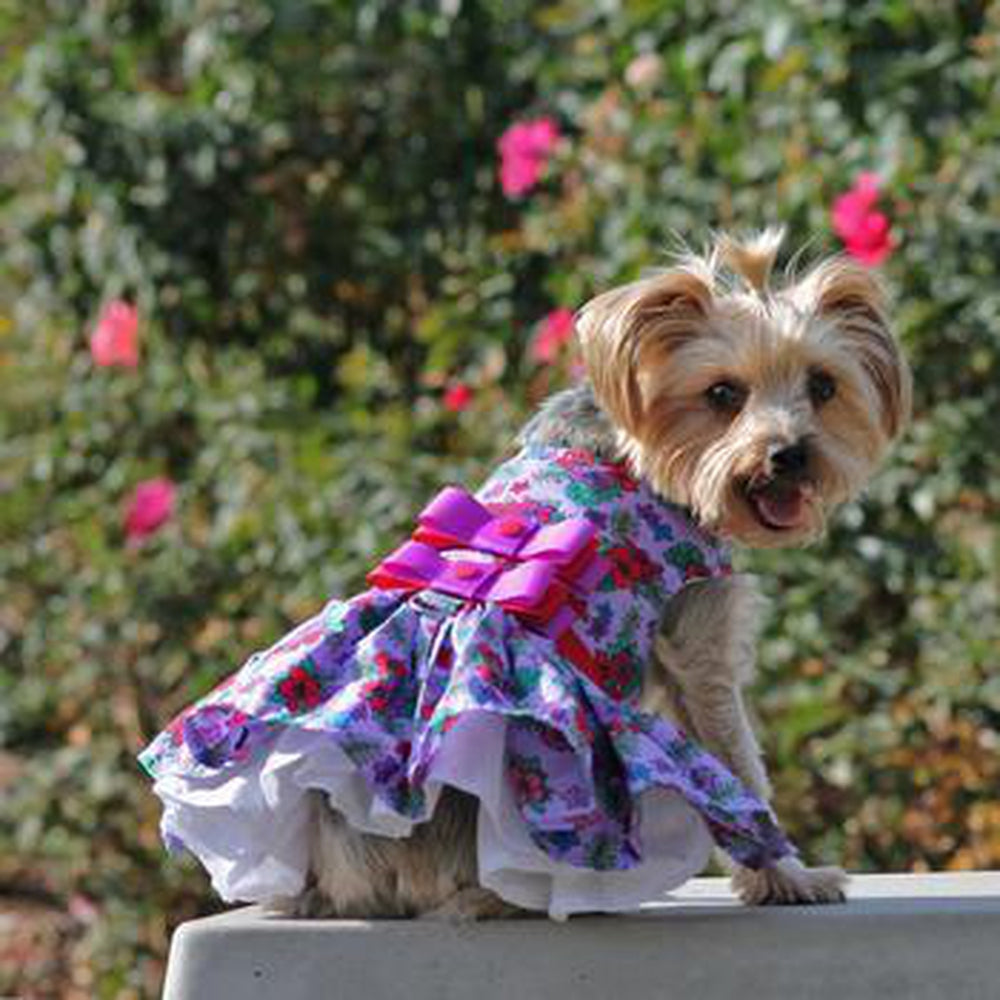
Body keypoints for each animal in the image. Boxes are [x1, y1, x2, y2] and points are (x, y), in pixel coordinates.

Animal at [288, 230, 908, 916]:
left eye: (823, 386)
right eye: (722, 394)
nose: (790, 454)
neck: (646, 457)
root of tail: (333, 875)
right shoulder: (698, 645)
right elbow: (739, 770)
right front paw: (790, 878)